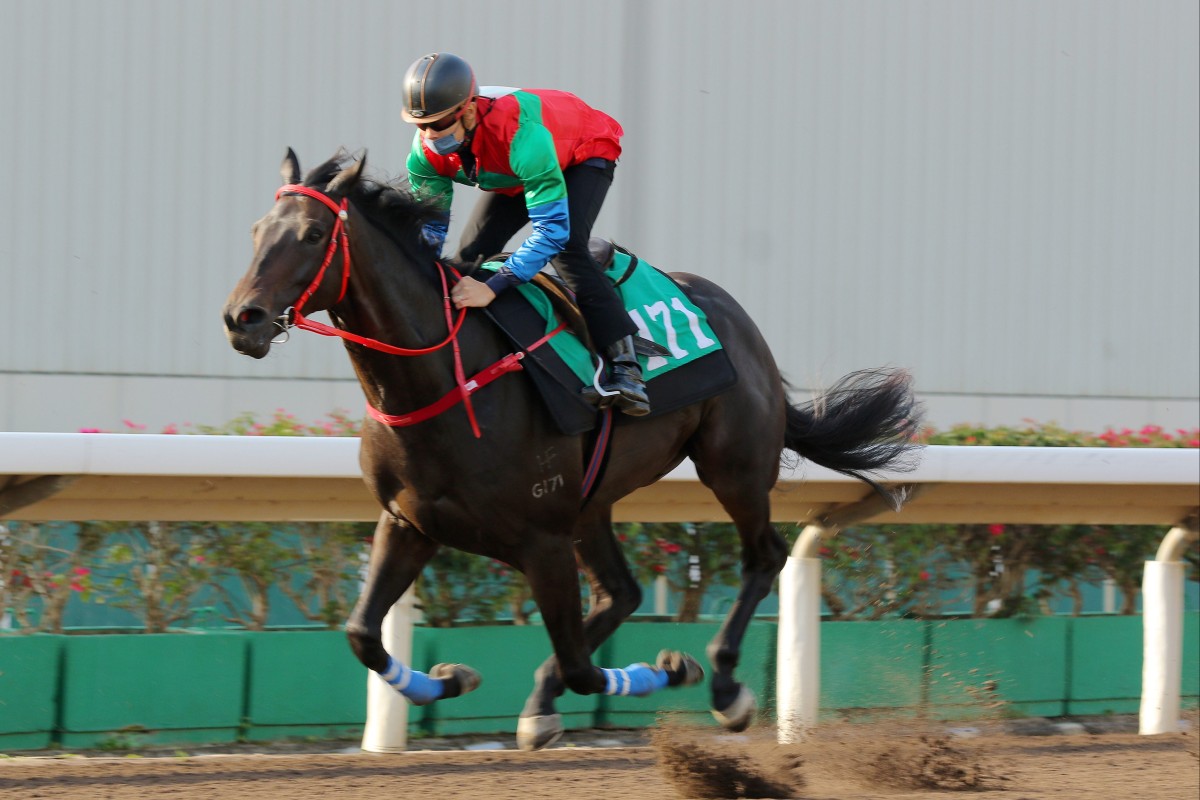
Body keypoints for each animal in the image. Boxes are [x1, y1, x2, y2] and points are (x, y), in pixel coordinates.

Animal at [223, 148, 916, 753]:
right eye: (256, 230)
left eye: (313, 234)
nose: (242, 319)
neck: (446, 379)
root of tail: (742, 323)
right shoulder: (410, 522)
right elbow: (362, 634)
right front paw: (449, 679)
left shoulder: (543, 540)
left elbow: (585, 667)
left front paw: (675, 668)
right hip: (594, 501)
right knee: (624, 592)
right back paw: (546, 702)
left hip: (734, 467)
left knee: (762, 555)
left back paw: (722, 684)